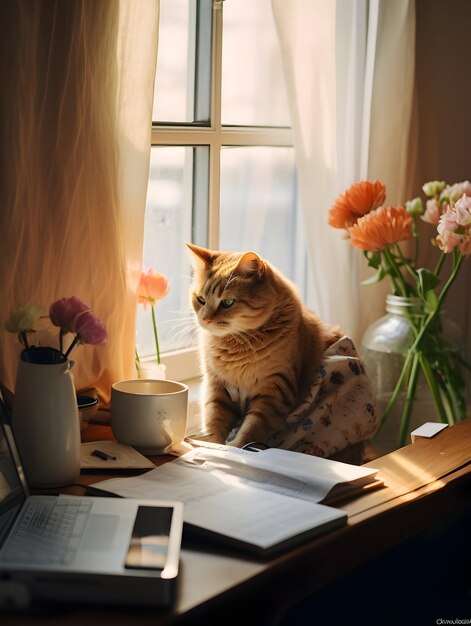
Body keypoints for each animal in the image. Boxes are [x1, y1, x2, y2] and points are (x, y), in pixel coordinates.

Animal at [187, 245, 342, 448]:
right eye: (201, 300)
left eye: (227, 302)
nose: (205, 319)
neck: (236, 344)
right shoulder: (216, 386)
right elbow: (214, 420)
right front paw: (213, 446)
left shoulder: (274, 391)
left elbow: (252, 429)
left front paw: (235, 449)